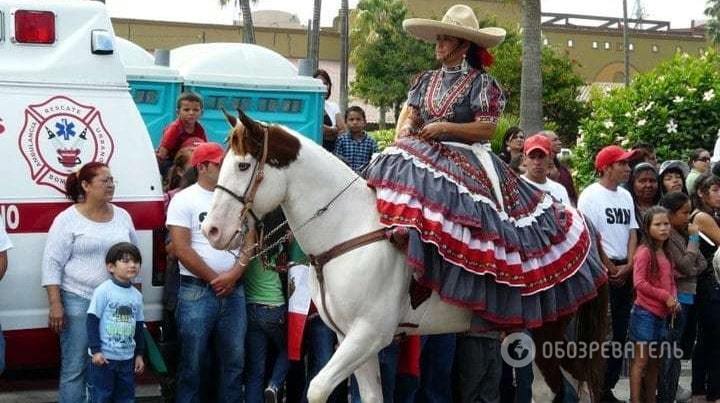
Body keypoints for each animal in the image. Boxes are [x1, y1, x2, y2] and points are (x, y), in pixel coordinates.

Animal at [202, 110, 608, 403]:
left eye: (243, 166)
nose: (212, 231)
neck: (348, 229)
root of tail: (584, 221)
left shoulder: (370, 334)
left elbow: (316, 389)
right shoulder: (350, 337)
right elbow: (368, 398)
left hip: (551, 336)